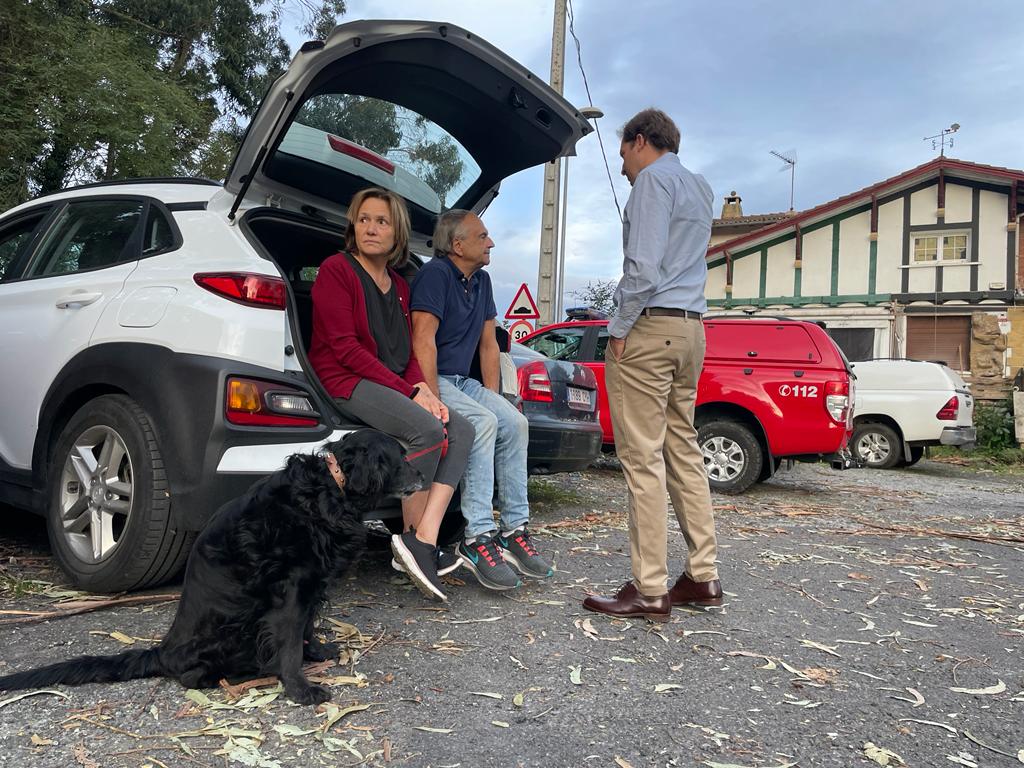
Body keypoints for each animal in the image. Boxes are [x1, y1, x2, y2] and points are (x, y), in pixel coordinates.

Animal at [0, 430, 421, 708]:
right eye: (400, 457)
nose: (420, 476)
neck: (329, 488)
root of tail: (164, 650)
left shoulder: (312, 587)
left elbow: (307, 630)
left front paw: (317, 653)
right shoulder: (292, 591)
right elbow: (289, 642)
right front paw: (300, 689)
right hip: (237, 626)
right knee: (193, 676)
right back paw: (250, 672)